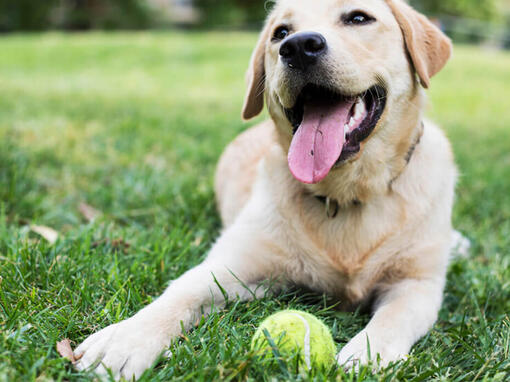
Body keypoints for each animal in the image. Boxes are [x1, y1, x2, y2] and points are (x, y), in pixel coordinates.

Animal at [73, 0, 456, 380]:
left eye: (359, 18)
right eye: (280, 33)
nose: (298, 47)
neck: (344, 193)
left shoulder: (417, 284)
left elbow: (394, 316)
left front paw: (368, 353)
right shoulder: (235, 265)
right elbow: (181, 291)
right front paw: (125, 339)